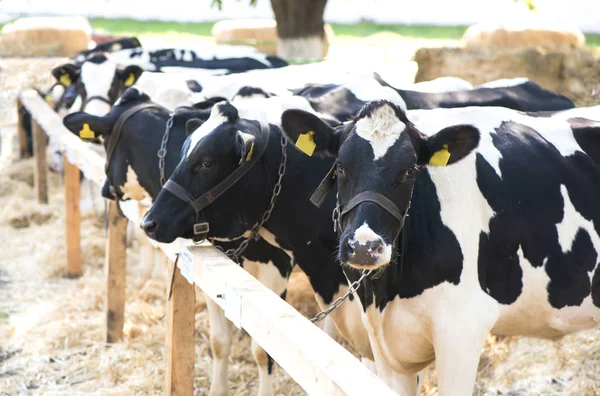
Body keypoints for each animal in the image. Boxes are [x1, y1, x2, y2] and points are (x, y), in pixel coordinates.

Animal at [62, 87, 356, 396]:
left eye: (206, 162)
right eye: (184, 154)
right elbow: (219, 341)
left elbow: (262, 350)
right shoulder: (218, 267)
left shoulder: (276, 268)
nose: (149, 222)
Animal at [278, 100, 600, 394]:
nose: (363, 247)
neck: (387, 294)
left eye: (410, 170)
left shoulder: (461, 330)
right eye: (341, 166)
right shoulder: (386, 347)